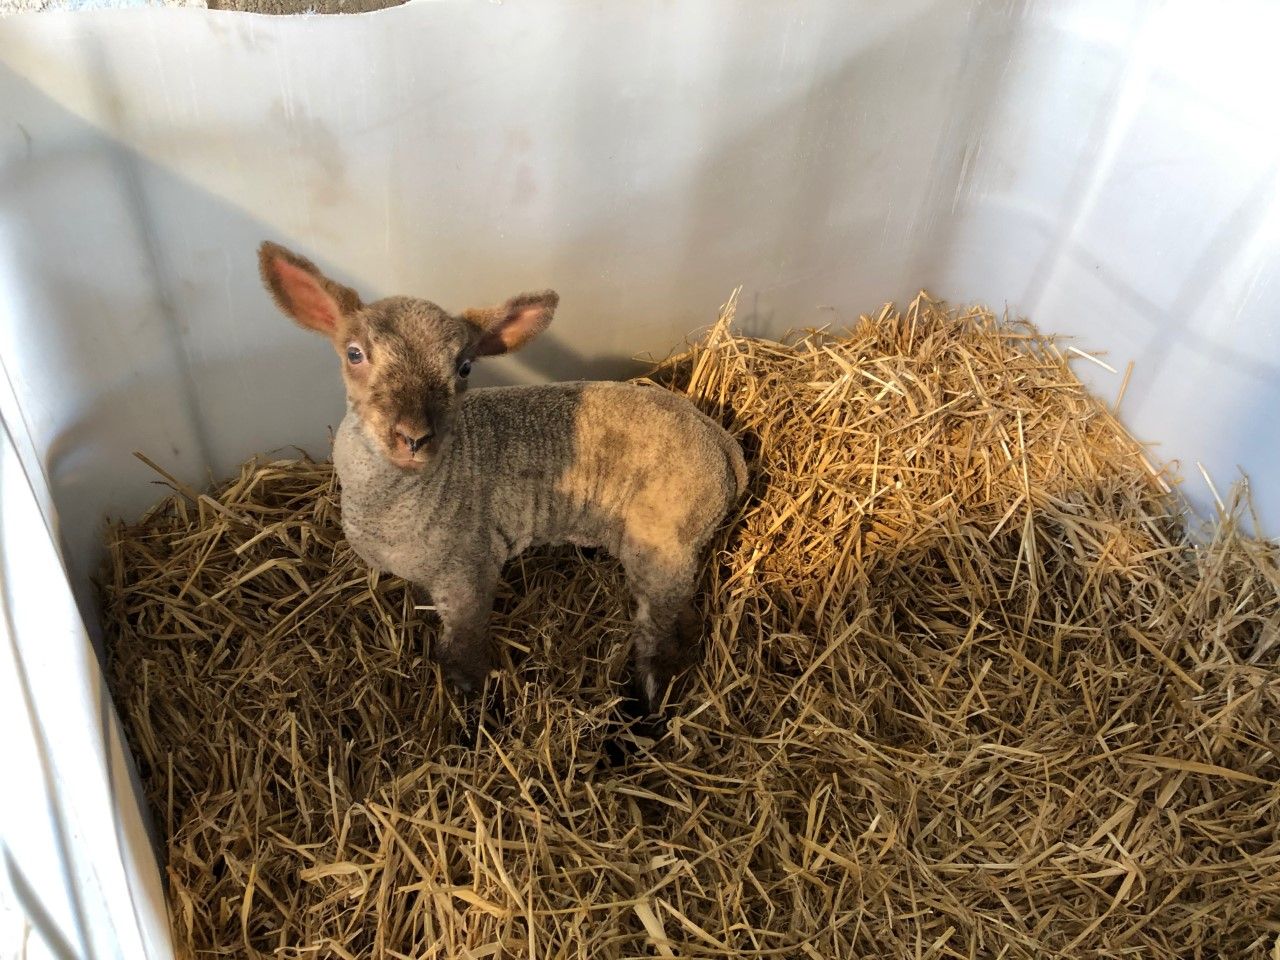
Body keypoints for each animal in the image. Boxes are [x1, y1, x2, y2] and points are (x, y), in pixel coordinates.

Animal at [258, 242, 746, 714]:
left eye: (464, 368)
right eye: (354, 354)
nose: (414, 437)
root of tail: (722, 443)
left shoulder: (468, 573)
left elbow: (463, 657)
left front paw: (474, 710)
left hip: (664, 542)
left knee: (664, 632)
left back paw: (646, 704)